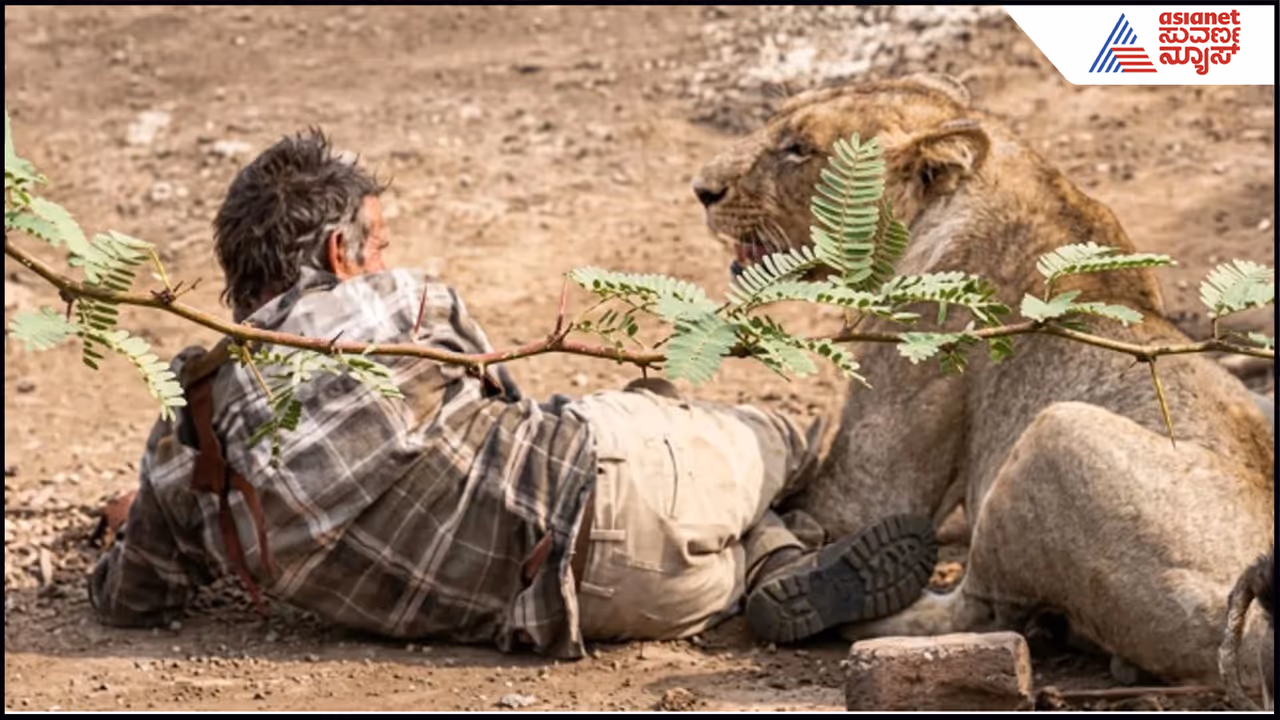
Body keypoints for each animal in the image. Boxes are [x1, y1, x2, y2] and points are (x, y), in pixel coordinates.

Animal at [690, 74, 1275, 688]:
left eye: (799, 148)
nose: (702, 189)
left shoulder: (888, 431)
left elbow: (839, 504)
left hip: (1055, 434)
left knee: (980, 611)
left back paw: (830, 595)